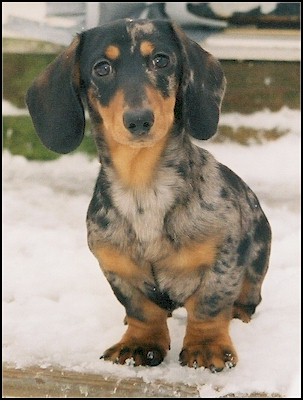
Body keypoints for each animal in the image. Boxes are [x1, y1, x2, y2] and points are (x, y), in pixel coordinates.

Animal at [26, 18, 270, 368]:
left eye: (161, 60)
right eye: (102, 68)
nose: (139, 120)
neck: (143, 187)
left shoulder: (223, 261)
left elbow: (209, 305)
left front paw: (206, 346)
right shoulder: (116, 268)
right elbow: (142, 310)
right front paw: (139, 343)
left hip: (259, 253)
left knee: (249, 294)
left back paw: (239, 311)